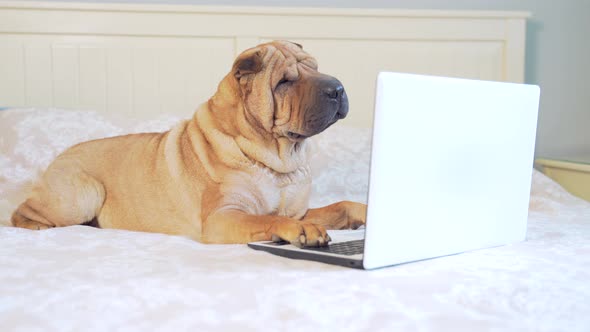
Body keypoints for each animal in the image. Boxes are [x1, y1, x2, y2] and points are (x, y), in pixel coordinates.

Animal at [11, 40, 368, 246]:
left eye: (315, 67)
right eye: (284, 82)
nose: (337, 88)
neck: (278, 160)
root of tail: (56, 161)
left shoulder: (302, 210)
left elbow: (339, 205)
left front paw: (365, 211)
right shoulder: (224, 217)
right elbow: (267, 218)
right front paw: (303, 232)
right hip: (84, 194)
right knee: (22, 210)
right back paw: (37, 227)